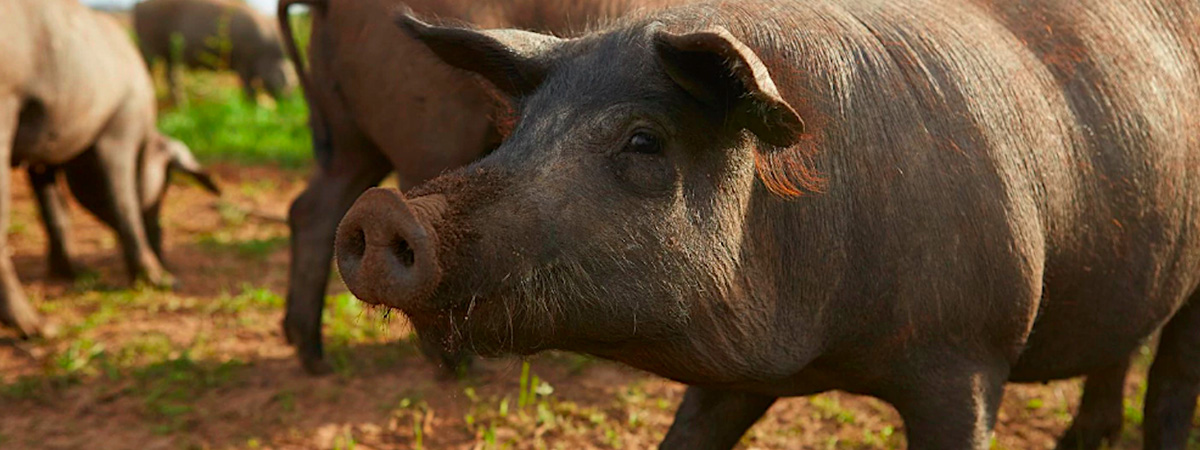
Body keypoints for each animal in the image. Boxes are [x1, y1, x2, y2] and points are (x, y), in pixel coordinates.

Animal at [0, 0, 218, 338]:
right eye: (167, 182)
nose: (163, 250)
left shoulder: (43, 153)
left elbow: (55, 213)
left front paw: (72, 273)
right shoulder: (120, 128)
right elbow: (123, 202)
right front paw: (163, 281)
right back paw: (39, 328)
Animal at [134, 0, 295, 102]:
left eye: (295, 82)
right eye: (282, 80)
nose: (289, 99)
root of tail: (138, 5)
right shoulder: (243, 62)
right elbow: (248, 88)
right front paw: (252, 104)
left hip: (170, 54)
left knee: (171, 76)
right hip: (149, 48)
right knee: (149, 71)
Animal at [333, 1, 1200, 448]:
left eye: (644, 140)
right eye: (517, 130)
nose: (382, 211)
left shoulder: (971, 351)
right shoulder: (733, 380)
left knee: (1170, 383)